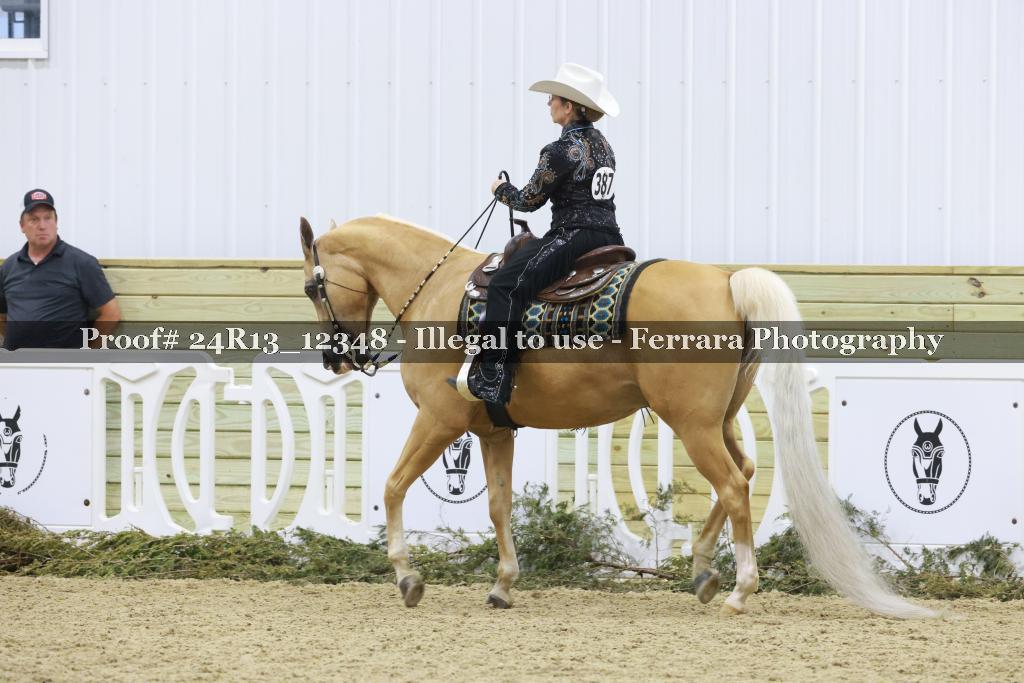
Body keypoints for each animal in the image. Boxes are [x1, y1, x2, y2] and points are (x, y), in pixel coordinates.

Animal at [298, 213, 934, 618]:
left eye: (310, 286)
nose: (337, 357)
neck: (440, 291)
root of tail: (728, 282)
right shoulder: (493, 430)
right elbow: (499, 506)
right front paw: (503, 587)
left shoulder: (438, 420)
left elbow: (393, 486)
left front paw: (408, 578)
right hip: (720, 420)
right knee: (746, 473)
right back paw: (704, 572)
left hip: (693, 425)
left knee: (732, 486)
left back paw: (738, 591)